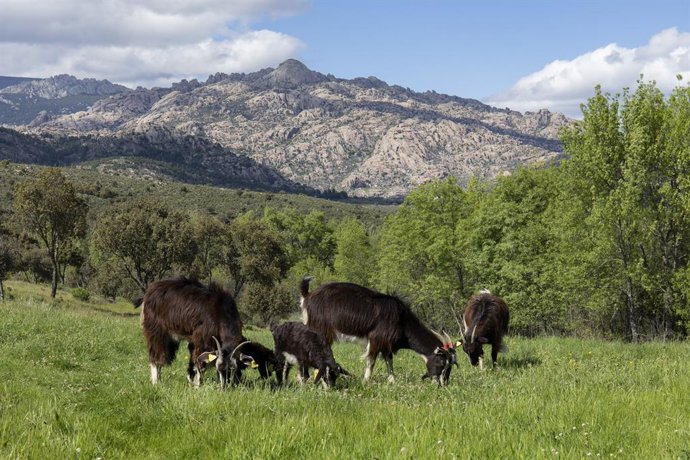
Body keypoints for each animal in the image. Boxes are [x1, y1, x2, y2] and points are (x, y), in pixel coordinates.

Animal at [300, 278, 457, 385]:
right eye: (442, 362)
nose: (443, 384)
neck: (402, 320)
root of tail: (308, 296)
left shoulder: (386, 344)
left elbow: (389, 361)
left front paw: (392, 381)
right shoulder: (377, 339)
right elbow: (371, 361)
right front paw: (365, 381)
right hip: (319, 330)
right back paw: (305, 380)